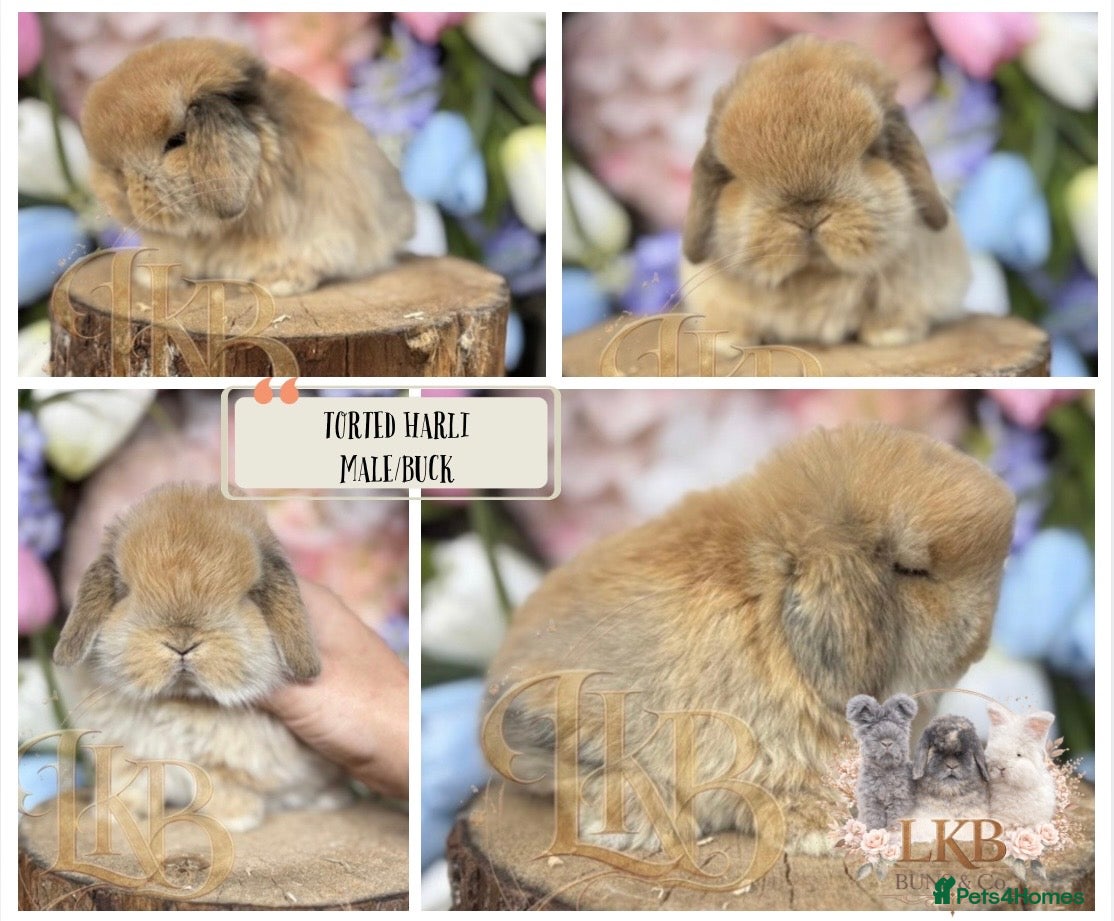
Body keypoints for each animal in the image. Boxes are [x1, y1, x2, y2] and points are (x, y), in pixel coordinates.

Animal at [52, 483, 351, 832]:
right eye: (124, 590)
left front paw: (237, 819)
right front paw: (112, 815)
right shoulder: (125, 752)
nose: (182, 643)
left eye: (249, 595)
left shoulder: (233, 761)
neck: (180, 699)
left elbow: (222, 782)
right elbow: (128, 781)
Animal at [679, 36, 970, 348]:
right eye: (732, 175)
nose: (808, 214)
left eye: (873, 151)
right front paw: (729, 342)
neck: (815, 275)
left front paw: (890, 335)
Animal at [846, 693, 917, 830]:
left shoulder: (901, 800)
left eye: (897, 725)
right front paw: (875, 831)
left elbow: (896, 819)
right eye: (871, 727)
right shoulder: (871, 801)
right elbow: (874, 821)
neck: (886, 771)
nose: (887, 742)